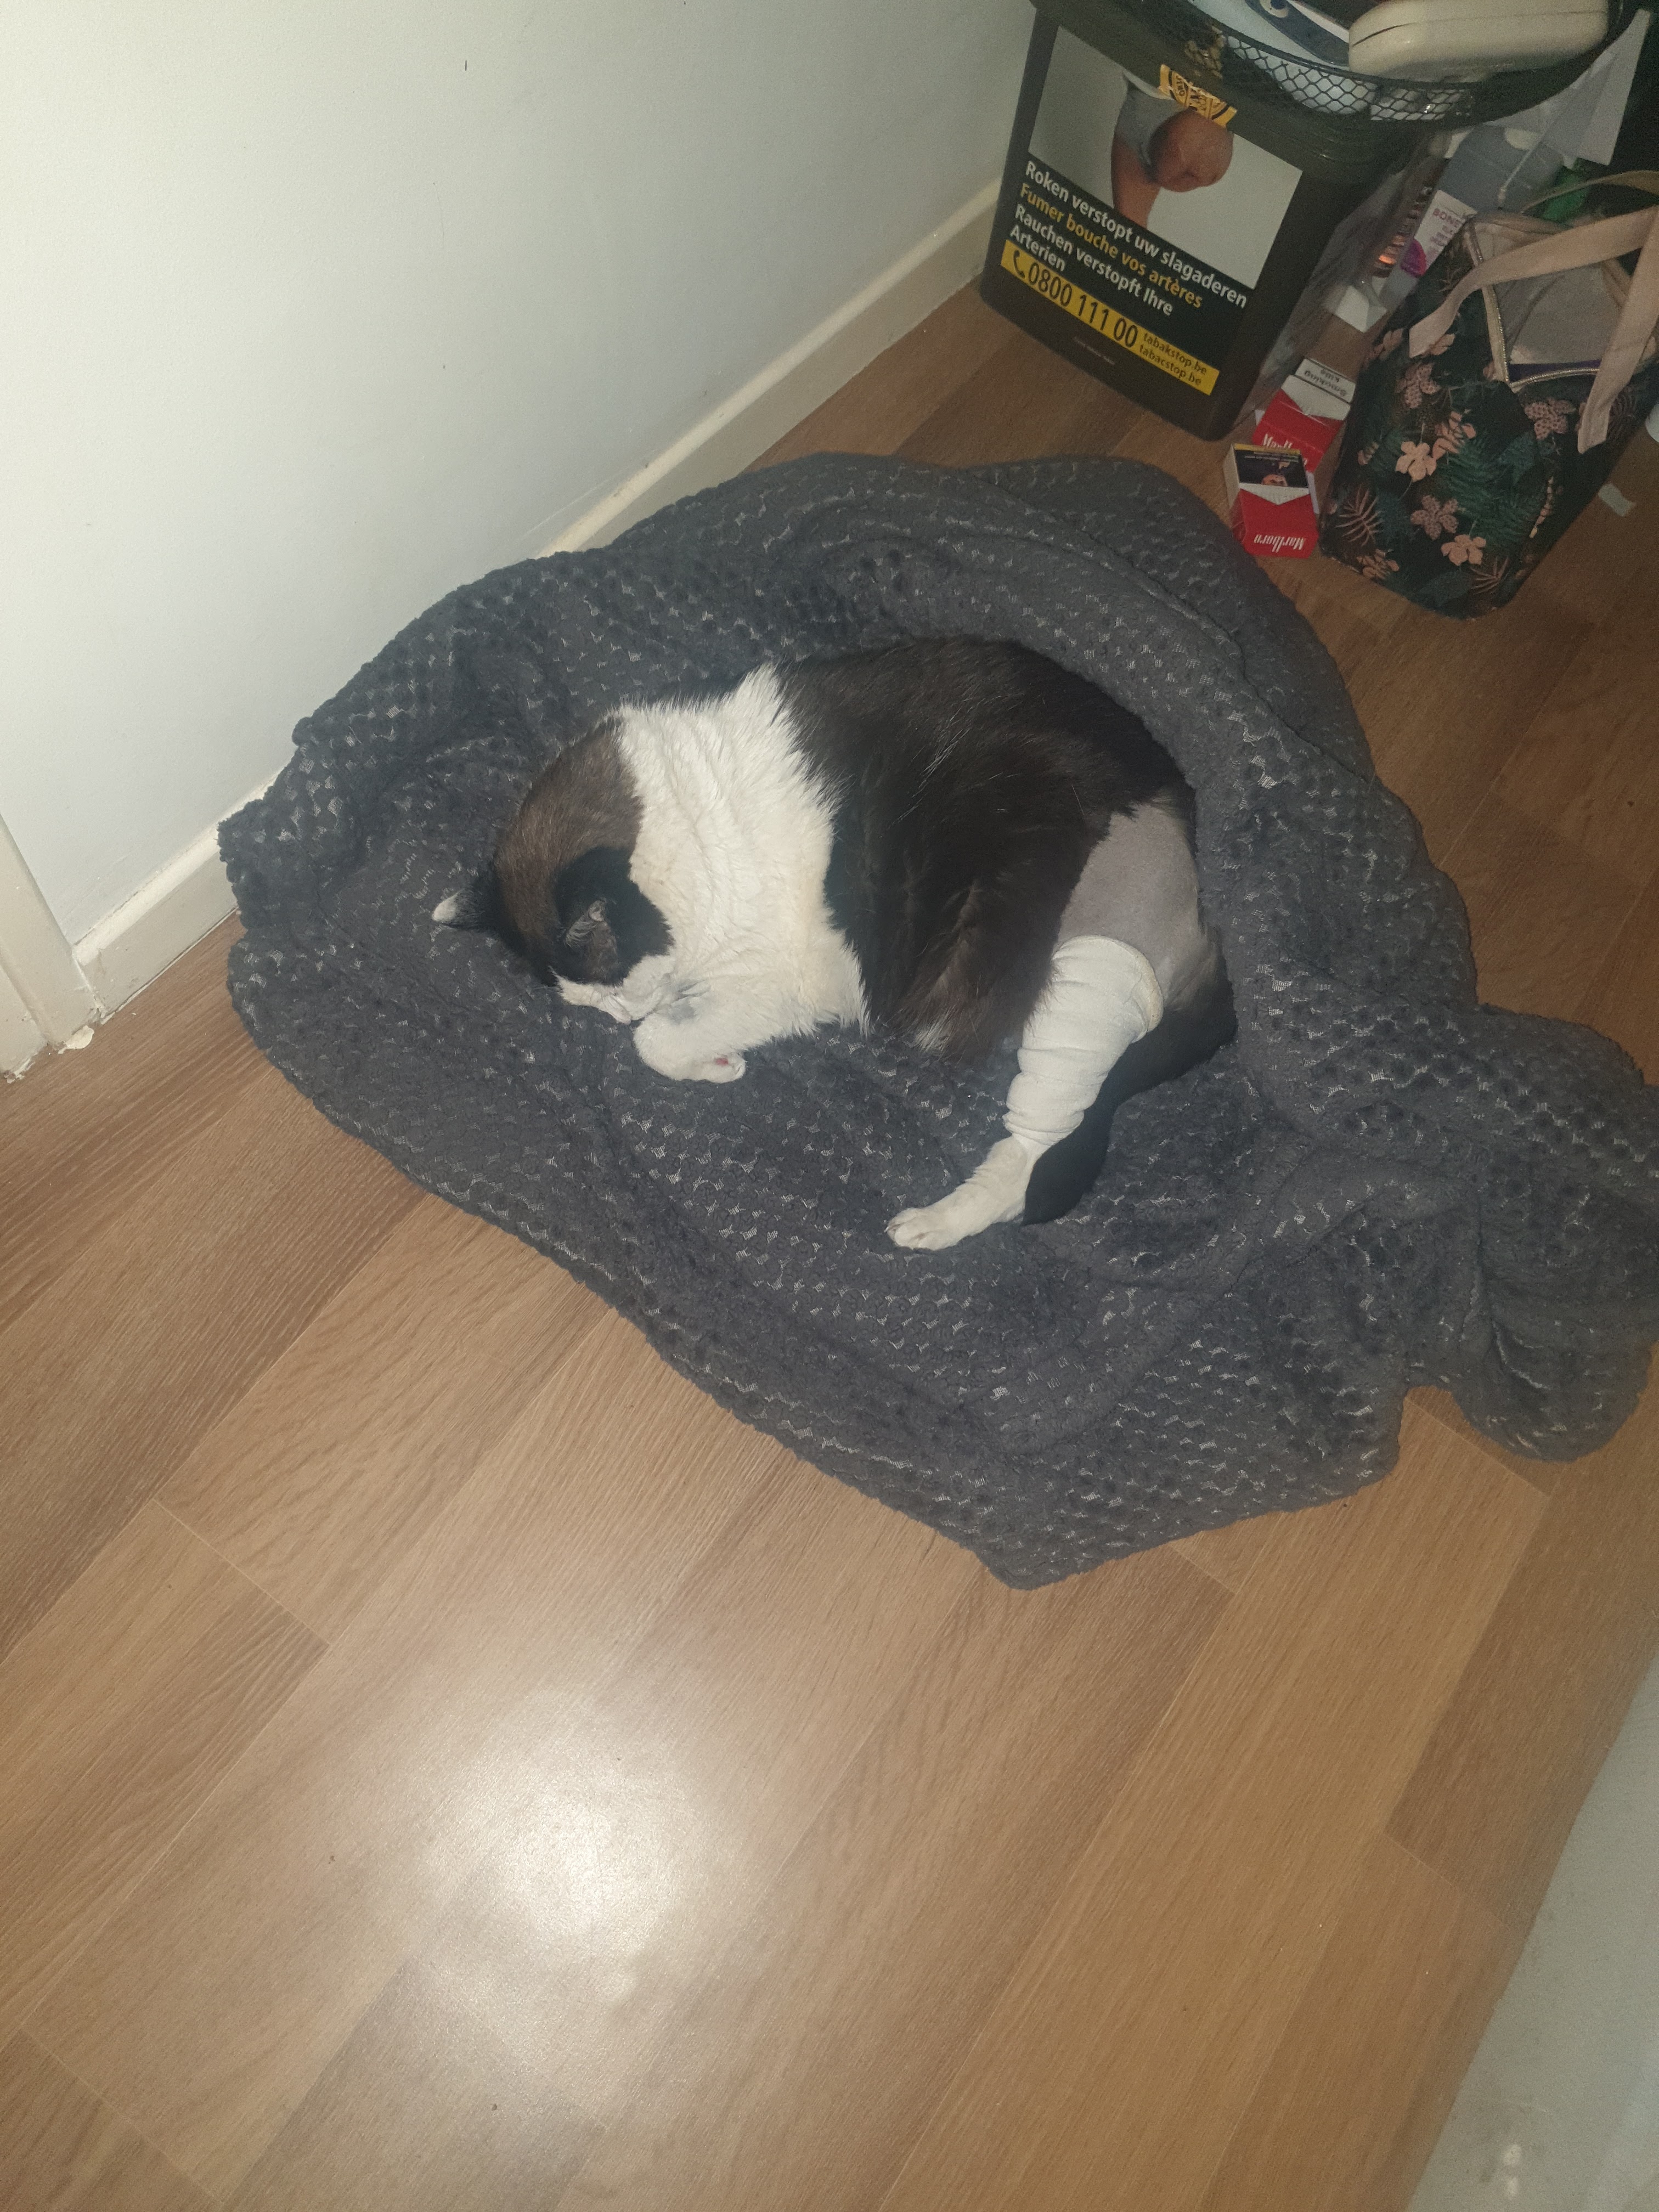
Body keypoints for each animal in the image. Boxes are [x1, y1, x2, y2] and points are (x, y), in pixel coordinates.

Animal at [435, 638, 1234, 1248]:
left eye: (615, 985)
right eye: (591, 1006)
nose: (622, 1014)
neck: (687, 834)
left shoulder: (778, 986)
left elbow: (657, 1045)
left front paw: (710, 1060)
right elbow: (664, 1040)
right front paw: (706, 1057)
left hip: (1091, 959)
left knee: (1039, 1146)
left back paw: (936, 1224)